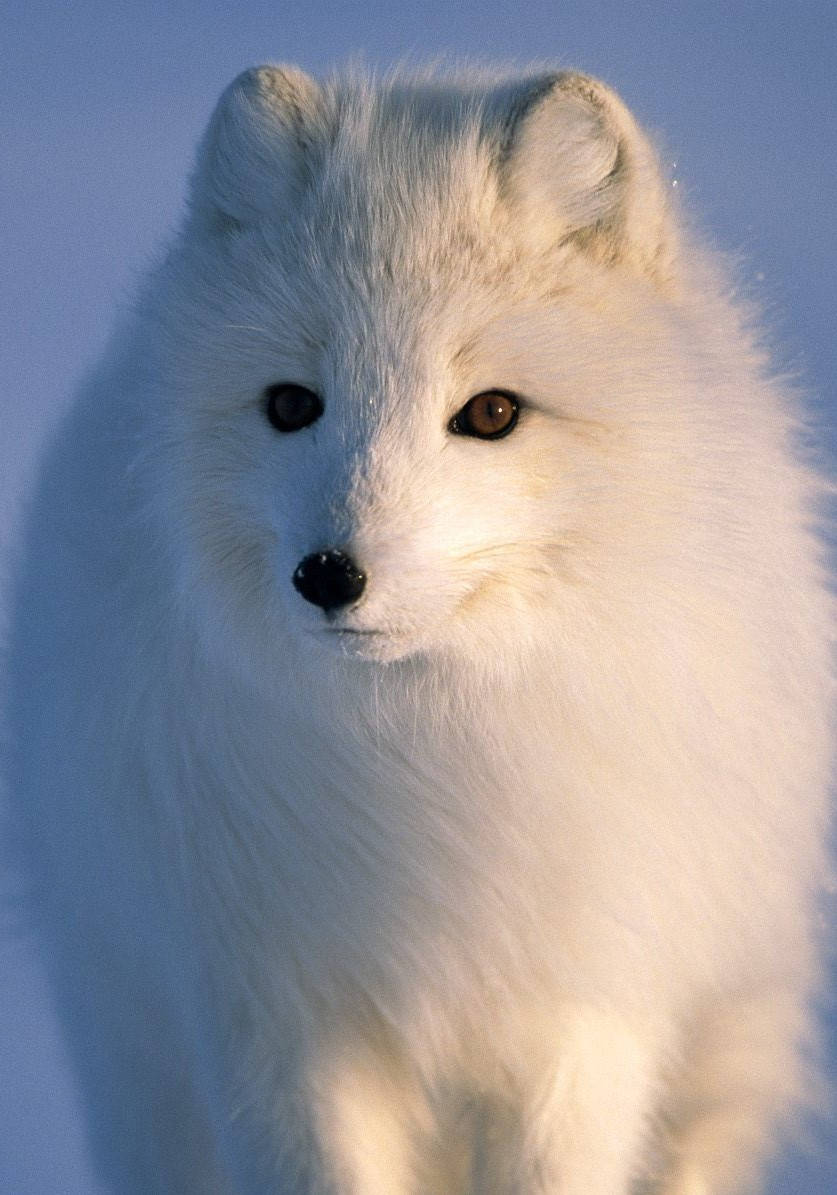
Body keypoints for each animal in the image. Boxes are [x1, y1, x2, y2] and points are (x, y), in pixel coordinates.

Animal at [4, 63, 834, 1194]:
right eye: (290, 404)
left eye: (490, 413)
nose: (328, 574)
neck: (430, 756)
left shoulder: (578, 1017)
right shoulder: (279, 1020)